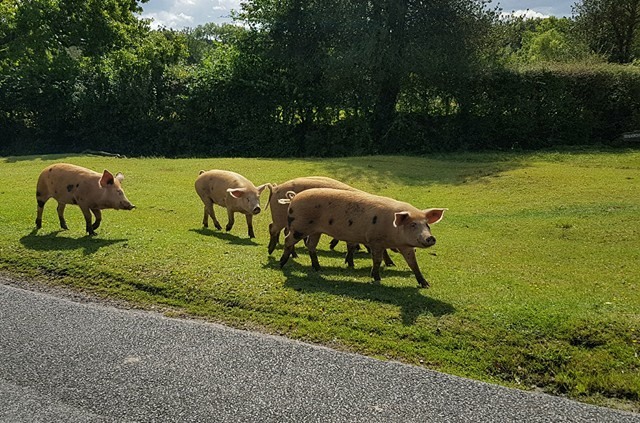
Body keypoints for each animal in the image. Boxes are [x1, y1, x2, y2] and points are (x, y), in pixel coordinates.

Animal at [278, 188, 446, 288]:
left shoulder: (406, 246)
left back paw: (318, 269)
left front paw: (425, 284)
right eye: (413, 225)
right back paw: (281, 264)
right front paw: (377, 278)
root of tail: (293, 199)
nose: (430, 238)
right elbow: (377, 260)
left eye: (427, 225)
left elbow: (413, 264)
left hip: (315, 231)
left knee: (311, 246)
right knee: (288, 240)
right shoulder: (375, 240)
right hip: (299, 227)